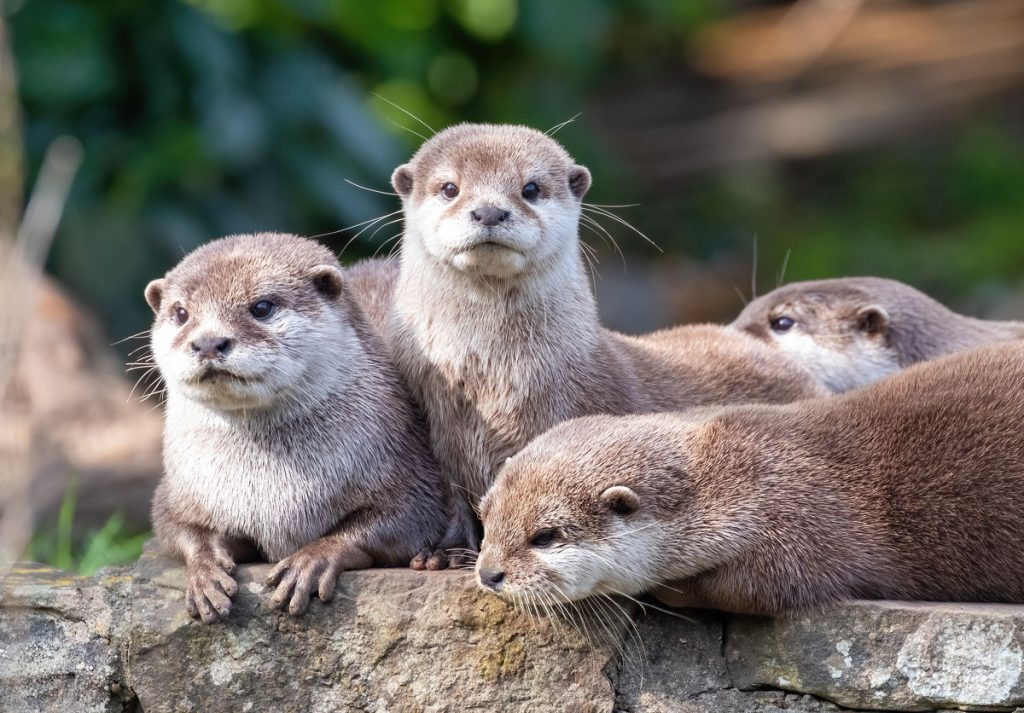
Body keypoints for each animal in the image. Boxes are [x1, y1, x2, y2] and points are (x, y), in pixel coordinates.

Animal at [146, 235, 450, 622]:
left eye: (261, 306)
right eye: (181, 313)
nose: (209, 342)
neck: (270, 488)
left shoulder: (406, 464)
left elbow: (408, 517)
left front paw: (313, 558)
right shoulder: (180, 488)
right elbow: (176, 527)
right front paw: (204, 572)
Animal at [385, 122, 823, 553]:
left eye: (531, 188)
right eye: (449, 188)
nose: (490, 211)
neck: (492, 380)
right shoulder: (441, 427)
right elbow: (455, 492)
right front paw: (446, 549)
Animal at [475, 338, 1024, 614]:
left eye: (545, 536)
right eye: (485, 520)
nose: (488, 574)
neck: (732, 475)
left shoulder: (803, 519)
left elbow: (759, 588)